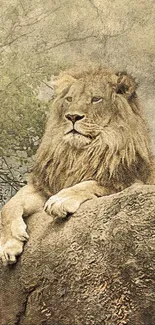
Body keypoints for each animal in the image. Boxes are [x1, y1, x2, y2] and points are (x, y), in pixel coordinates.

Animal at [0, 65, 154, 264]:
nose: (72, 116)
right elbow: (9, 205)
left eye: (96, 99)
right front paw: (8, 244)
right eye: (69, 99)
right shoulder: (46, 186)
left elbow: (89, 184)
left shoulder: (127, 181)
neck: (79, 153)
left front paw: (60, 200)